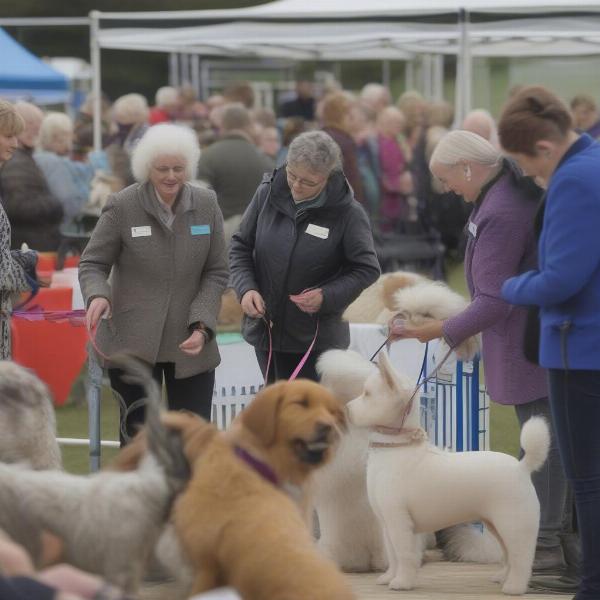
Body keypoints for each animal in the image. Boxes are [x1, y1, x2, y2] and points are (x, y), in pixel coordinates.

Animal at [346, 352, 548, 596]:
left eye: (367, 394)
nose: (346, 409)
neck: (396, 449)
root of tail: (521, 467)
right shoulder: (387, 524)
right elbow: (393, 556)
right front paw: (388, 577)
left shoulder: (399, 522)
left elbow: (404, 555)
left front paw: (402, 582)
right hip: (496, 525)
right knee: (508, 554)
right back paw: (502, 577)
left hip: (514, 525)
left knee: (521, 557)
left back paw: (514, 586)